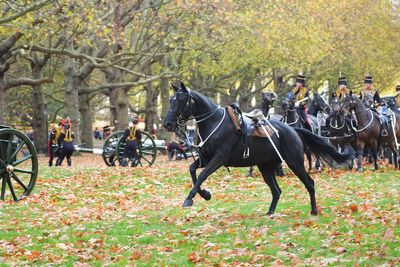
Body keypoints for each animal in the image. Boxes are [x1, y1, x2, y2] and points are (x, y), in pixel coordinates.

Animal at [162, 81, 350, 216]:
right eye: (171, 100)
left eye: (181, 100)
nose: (168, 124)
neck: (214, 123)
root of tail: (292, 130)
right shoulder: (205, 158)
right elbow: (192, 170)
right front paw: (204, 194)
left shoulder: (218, 159)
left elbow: (201, 175)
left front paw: (190, 198)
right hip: (266, 167)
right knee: (276, 191)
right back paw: (270, 212)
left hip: (294, 163)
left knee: (309, 183)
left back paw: (314, 210)